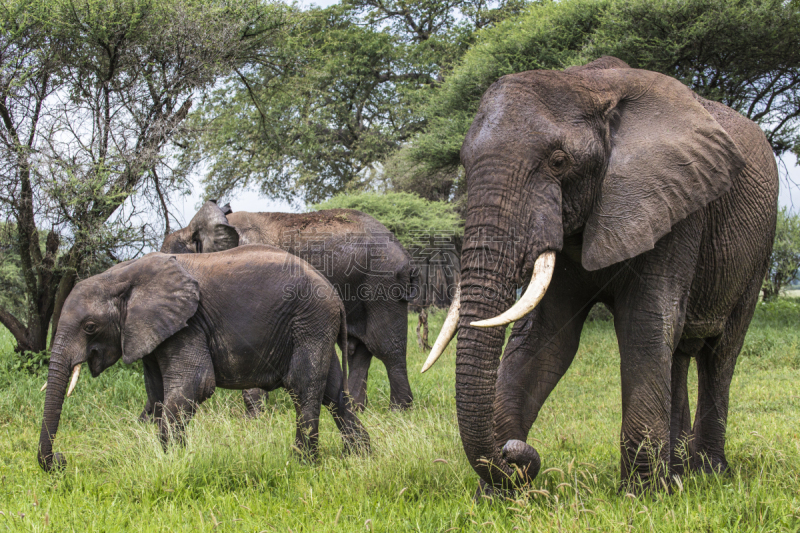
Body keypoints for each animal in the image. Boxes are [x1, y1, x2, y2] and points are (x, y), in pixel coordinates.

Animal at [37, 245, 368, 470]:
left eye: (90, 327)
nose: (61, 461)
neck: (121, 274)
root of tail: (334, 294)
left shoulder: (188, 324)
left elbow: (195, 384)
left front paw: (172, 462)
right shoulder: (151, 331)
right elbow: (157, 395)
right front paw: (174, 459)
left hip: (310, 320)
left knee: (304, 385)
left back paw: (302, 463)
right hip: (315, 326)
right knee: (333, 392)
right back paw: (360, 456)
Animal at [160, 202, 416, 410]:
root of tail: (404, 253)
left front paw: (256, 419)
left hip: (381, 283)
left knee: (385, 346)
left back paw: (399, 410)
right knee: (358, 349)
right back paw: (358, 408)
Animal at [428, 56, 780, 492]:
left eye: (559, 162)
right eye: (464, 163)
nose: (514, 454)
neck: (591, 85)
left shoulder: (673, 204)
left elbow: (645, 324)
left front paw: (642, 495)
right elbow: (546, 336)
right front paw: (499, 495)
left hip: (757, 250)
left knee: (721, 353)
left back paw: (708, 473)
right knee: (678, 352)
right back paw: (679, 473)